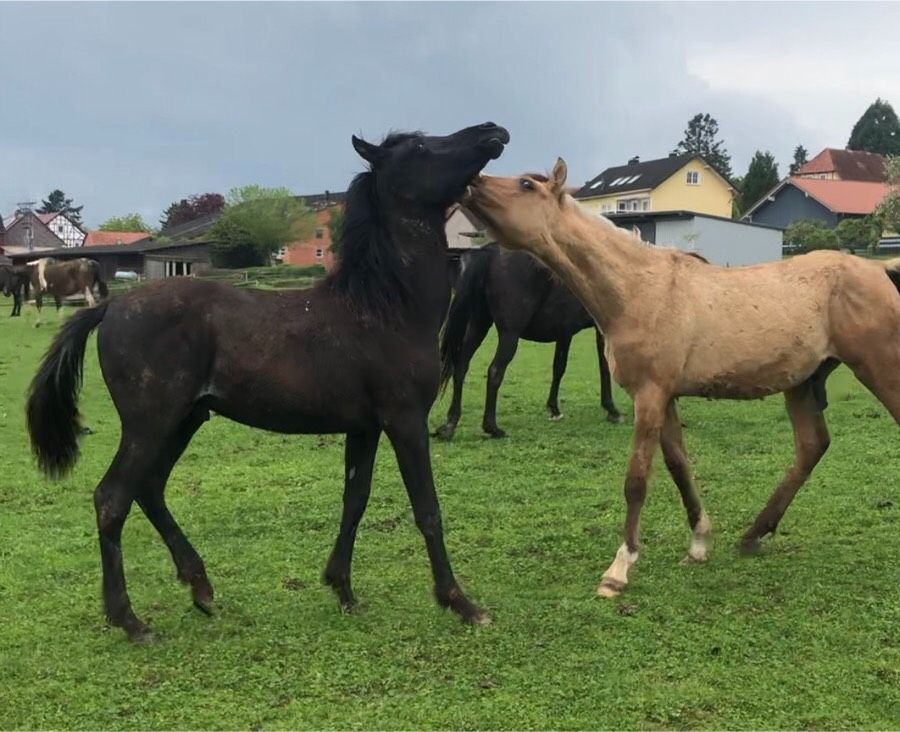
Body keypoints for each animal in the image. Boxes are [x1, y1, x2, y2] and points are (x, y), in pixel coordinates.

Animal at [26, 121, 506, 640]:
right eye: (419, 147)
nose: (492, 131)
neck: (384, 308)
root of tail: (111, 306)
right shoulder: (406, 421)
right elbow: (427, 509)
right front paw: (461, 602)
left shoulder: (364, 427)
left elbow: (354, 499)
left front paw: (342, 588)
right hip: (150, 423)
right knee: (112, 498)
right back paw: (130, 620)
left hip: (184, 419)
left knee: (148, 488)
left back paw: (201, 588)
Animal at [434, 243, 620, 444]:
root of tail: (490, 252)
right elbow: (605, 366)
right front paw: (611, 409)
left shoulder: (564, 331)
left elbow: (559, 367)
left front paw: (554, 409)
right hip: (509, 335)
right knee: (495, 371)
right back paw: (492, 428)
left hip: (479, 325)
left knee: (460, 366)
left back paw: (449, 425)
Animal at [464, 160, 900, 600]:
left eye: (525, 184)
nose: (470, 182)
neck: (640, 289)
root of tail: (881, 272)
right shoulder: (667, 397)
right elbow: (679, 468)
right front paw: (699, 543)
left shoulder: (649, 395)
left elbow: (637, 480)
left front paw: (619, 568)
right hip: (804, 383)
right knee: (811, 448)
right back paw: (753, 534)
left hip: (880, 370)